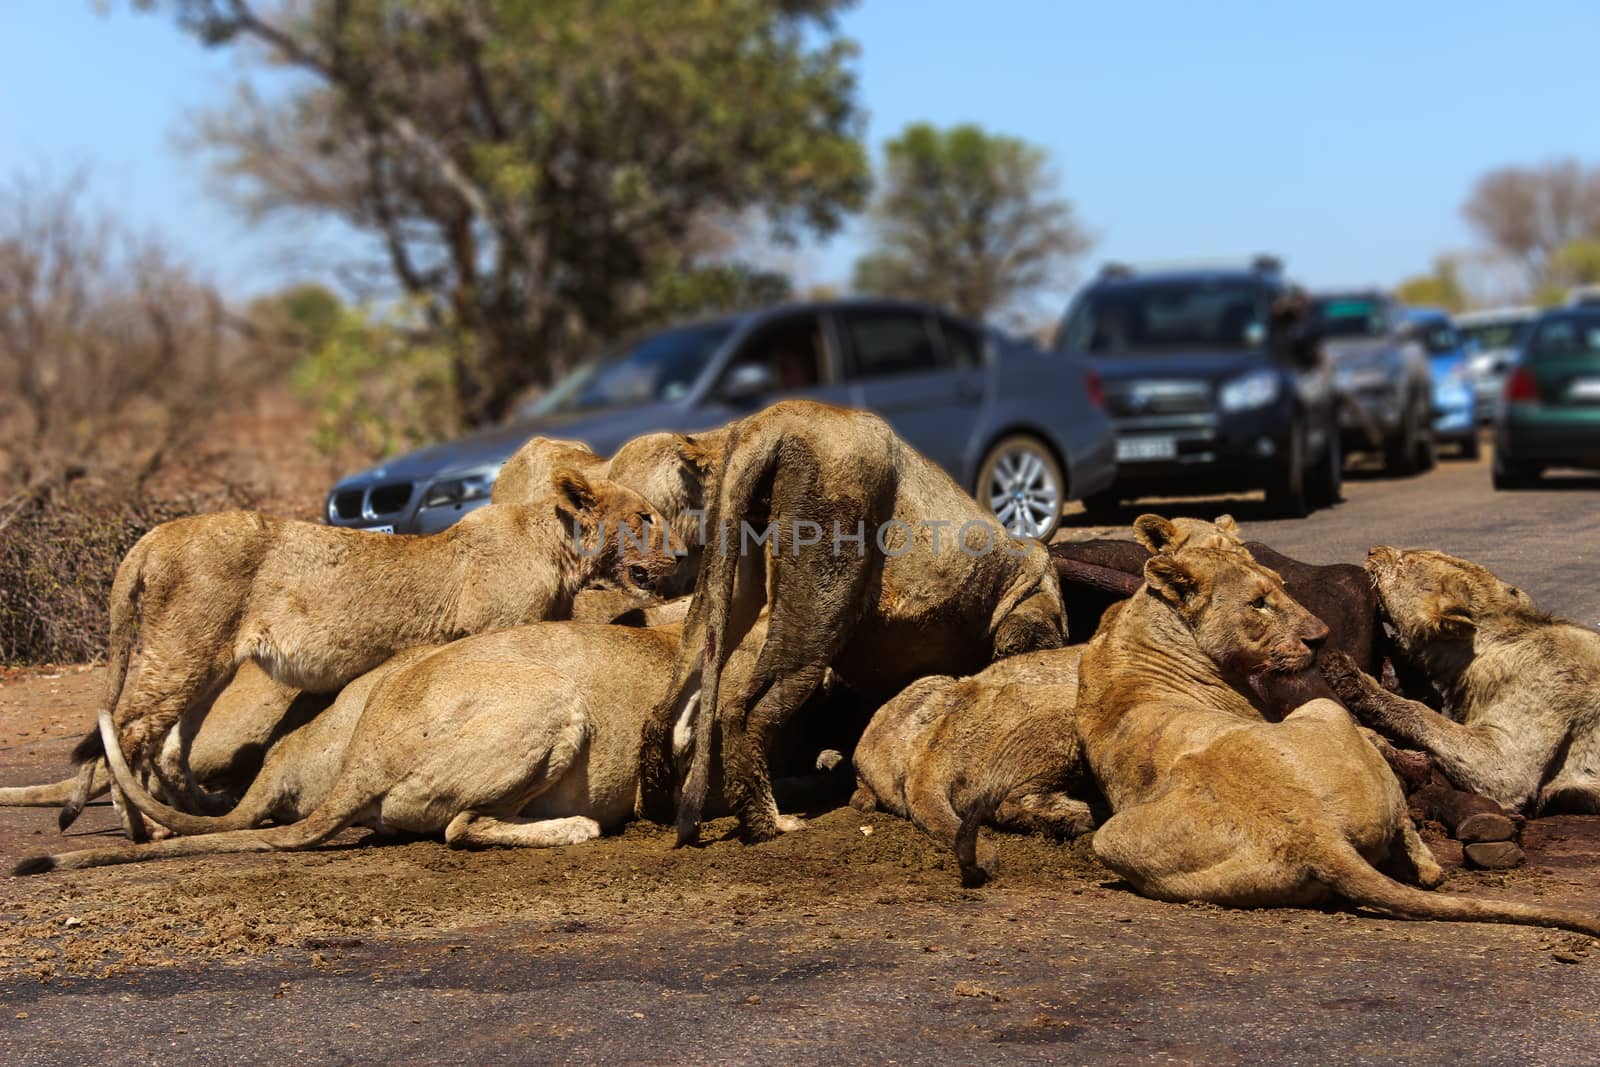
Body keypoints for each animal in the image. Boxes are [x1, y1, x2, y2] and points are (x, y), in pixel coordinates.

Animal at [65, 467, 678, 831]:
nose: (678, 557)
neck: (556, 547)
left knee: (168, 744)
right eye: (644, 517)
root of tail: (151, 537)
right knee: (130, 732)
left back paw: (198, 810)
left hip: (208, 664)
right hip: (183, 653)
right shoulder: (498, 629)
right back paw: (146, 828)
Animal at [633, 399, 1062, 851]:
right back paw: (769, 824)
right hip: (822, 596)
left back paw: (661, 810)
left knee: (673, 700)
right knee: (743, 710)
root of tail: (770, 422)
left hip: (727, 569)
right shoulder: (1030, 609)